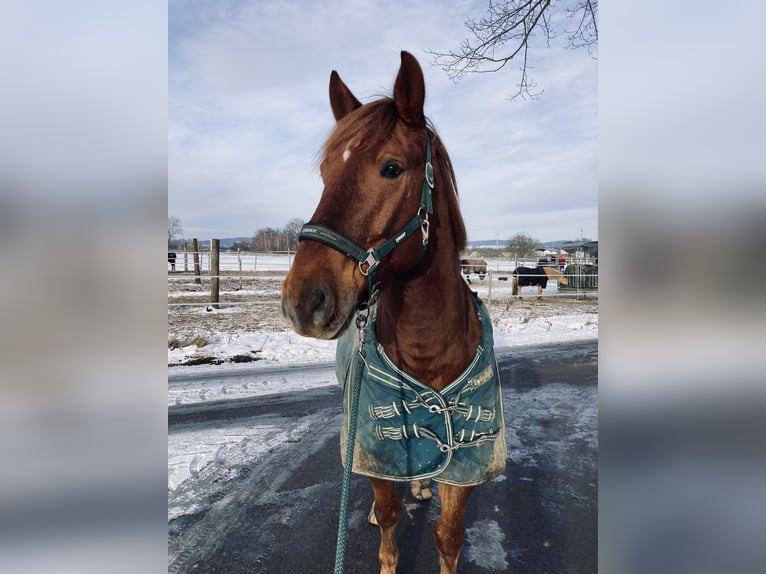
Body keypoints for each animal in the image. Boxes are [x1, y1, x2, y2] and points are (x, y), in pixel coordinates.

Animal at [281, 51, 506, 574]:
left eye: (391, 167)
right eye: (325, 172)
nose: (303, 300)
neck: (428, 350)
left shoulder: (466, 465)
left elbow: (448, 537)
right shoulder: (371, 450)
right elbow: (388, 520)